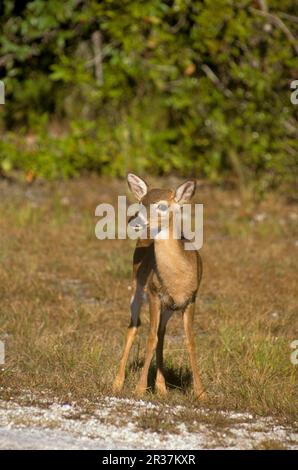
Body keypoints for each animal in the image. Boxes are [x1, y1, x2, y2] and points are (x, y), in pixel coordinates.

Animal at [112, 174, 205, 398]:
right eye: (141, 202)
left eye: (162, 206)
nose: (134, 221)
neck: (178, 280)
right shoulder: (154, 294)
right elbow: (150, 338)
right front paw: (139, 388)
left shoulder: (191, 299)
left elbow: (190, 341)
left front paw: (201, 392)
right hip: (137, 288)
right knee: (134, 327)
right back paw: (117, 383)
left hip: (169, 307)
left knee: (162, 333)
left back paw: (162, 387)